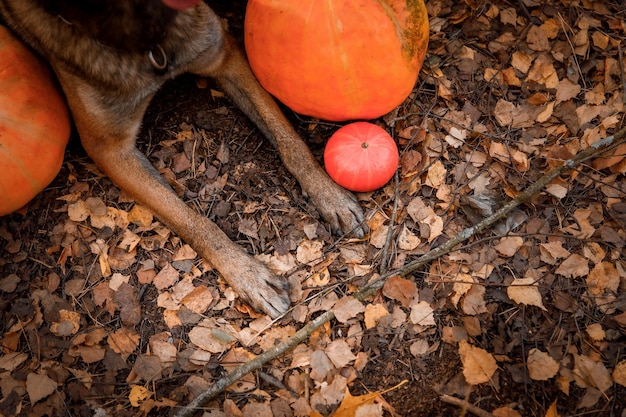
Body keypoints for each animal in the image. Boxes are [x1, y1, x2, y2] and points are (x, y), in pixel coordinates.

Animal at [0, 0, 366, 316]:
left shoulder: (224, 56)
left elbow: (289, 140)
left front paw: (330, 196)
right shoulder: (109, 149)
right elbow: (194, 222)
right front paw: (248, 275)